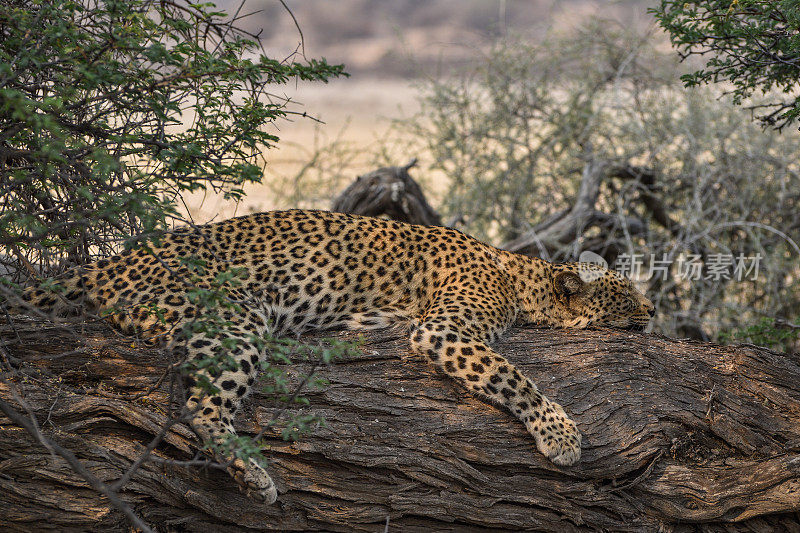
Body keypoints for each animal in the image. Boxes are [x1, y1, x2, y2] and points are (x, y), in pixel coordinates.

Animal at [9, 208, 652, 502]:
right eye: (626, 294)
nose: (652, 314)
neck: (522, 279)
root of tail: (109, 264)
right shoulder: (443, 330)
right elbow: (513, 374)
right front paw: (561, 435)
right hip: (236, 320)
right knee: (201, 408)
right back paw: (254, 477)